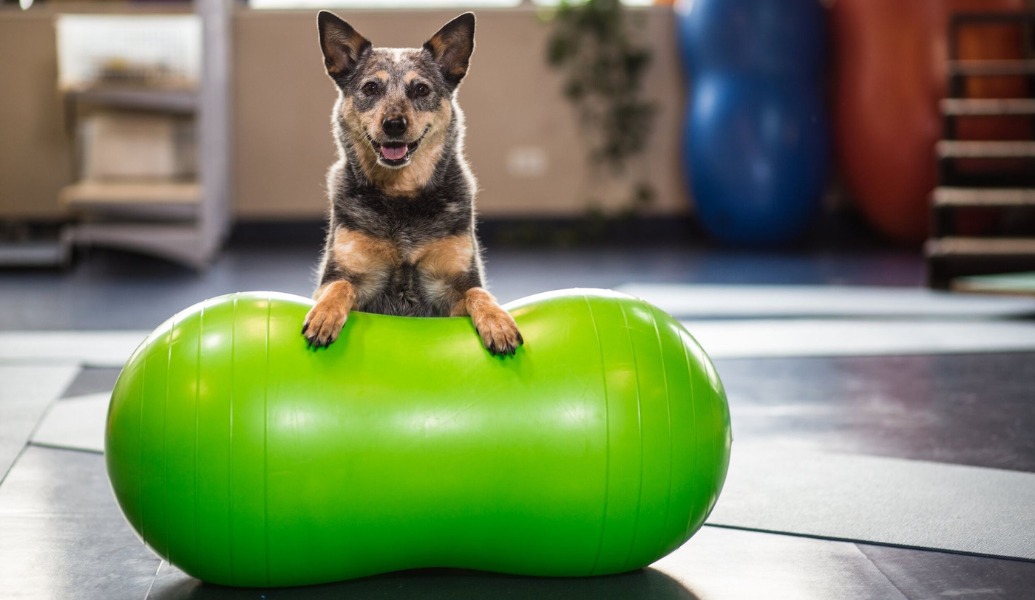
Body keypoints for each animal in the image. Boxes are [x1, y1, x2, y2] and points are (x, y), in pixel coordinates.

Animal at [302, 10, 521, 355]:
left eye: (420, 90)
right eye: (370, 88)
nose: (394, 124)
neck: (401, 193)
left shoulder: (452, 287)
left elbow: (479, 294)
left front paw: (498, 322)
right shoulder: (345, 274)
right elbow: (339, 287)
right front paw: (324, 315)